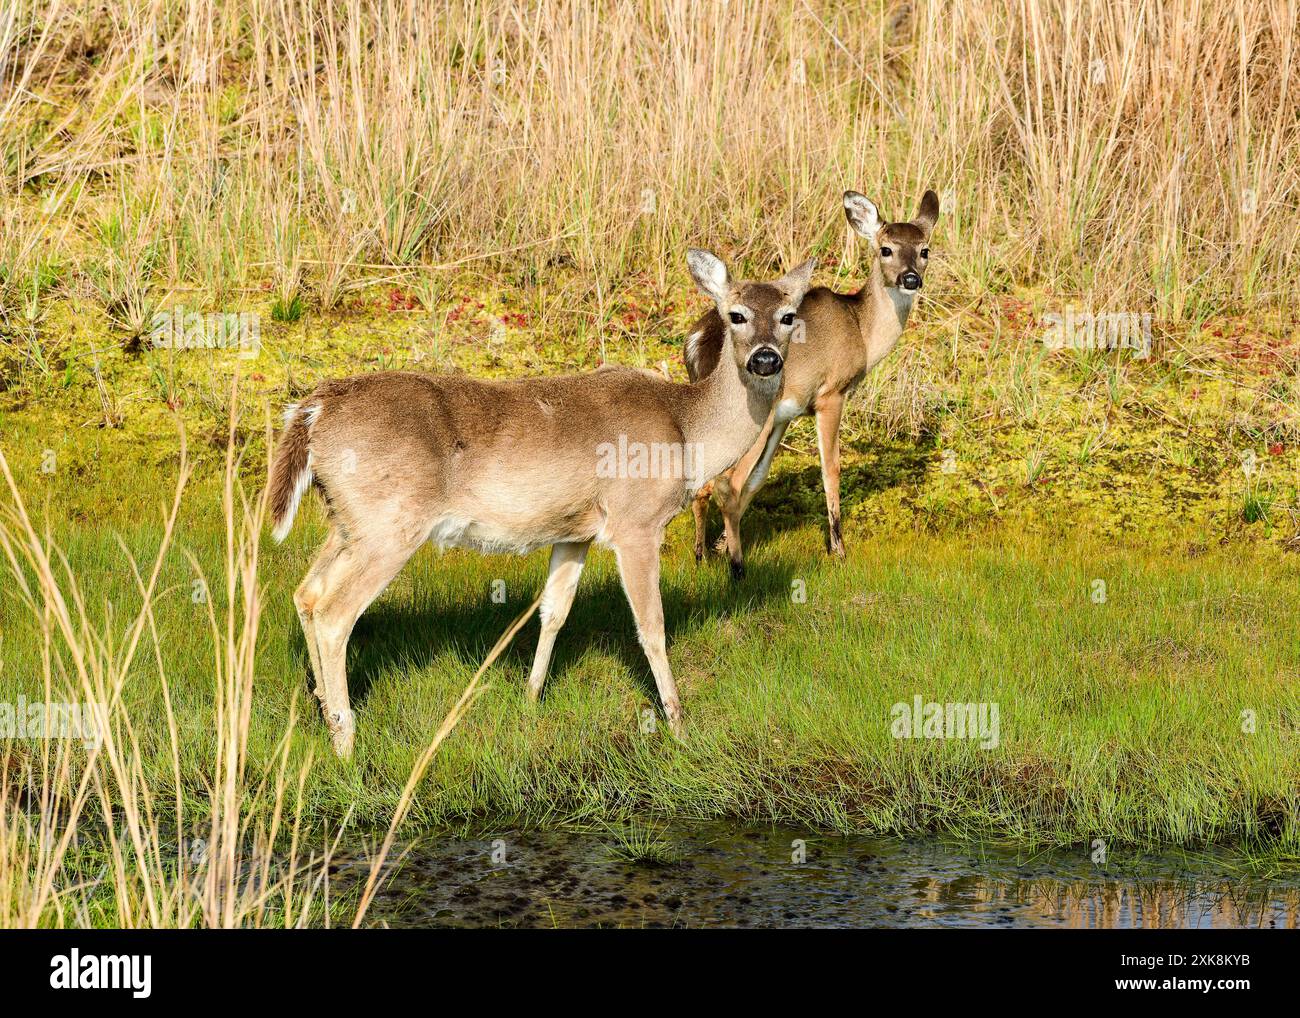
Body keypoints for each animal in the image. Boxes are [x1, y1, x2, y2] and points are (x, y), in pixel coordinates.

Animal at [267, 250, 815, 757]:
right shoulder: (636, 522)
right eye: (735, 315)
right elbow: (651, 627)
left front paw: (531, 697)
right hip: (389, 522)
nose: (766, 359)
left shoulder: (574, 531)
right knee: (335, 614)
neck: (685, 432)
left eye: (789, 315)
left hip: (346, 520)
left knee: (307, 594)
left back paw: (321, 709)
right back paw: (345, 740)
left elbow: (554, 611)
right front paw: (679, 725)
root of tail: (314, 410)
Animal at [685, 189, 939, 578]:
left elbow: (758, 480)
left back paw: (702, 556)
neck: (861, 331)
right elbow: (830, 467)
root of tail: (698, 343)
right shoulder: (830, 393)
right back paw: (734, 567)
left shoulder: (786, 414)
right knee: (727, 482)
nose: (910, 279)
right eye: (886, 248)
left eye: (925, 249)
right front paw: (838, 549)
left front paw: (721, 545)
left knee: (710, 481)